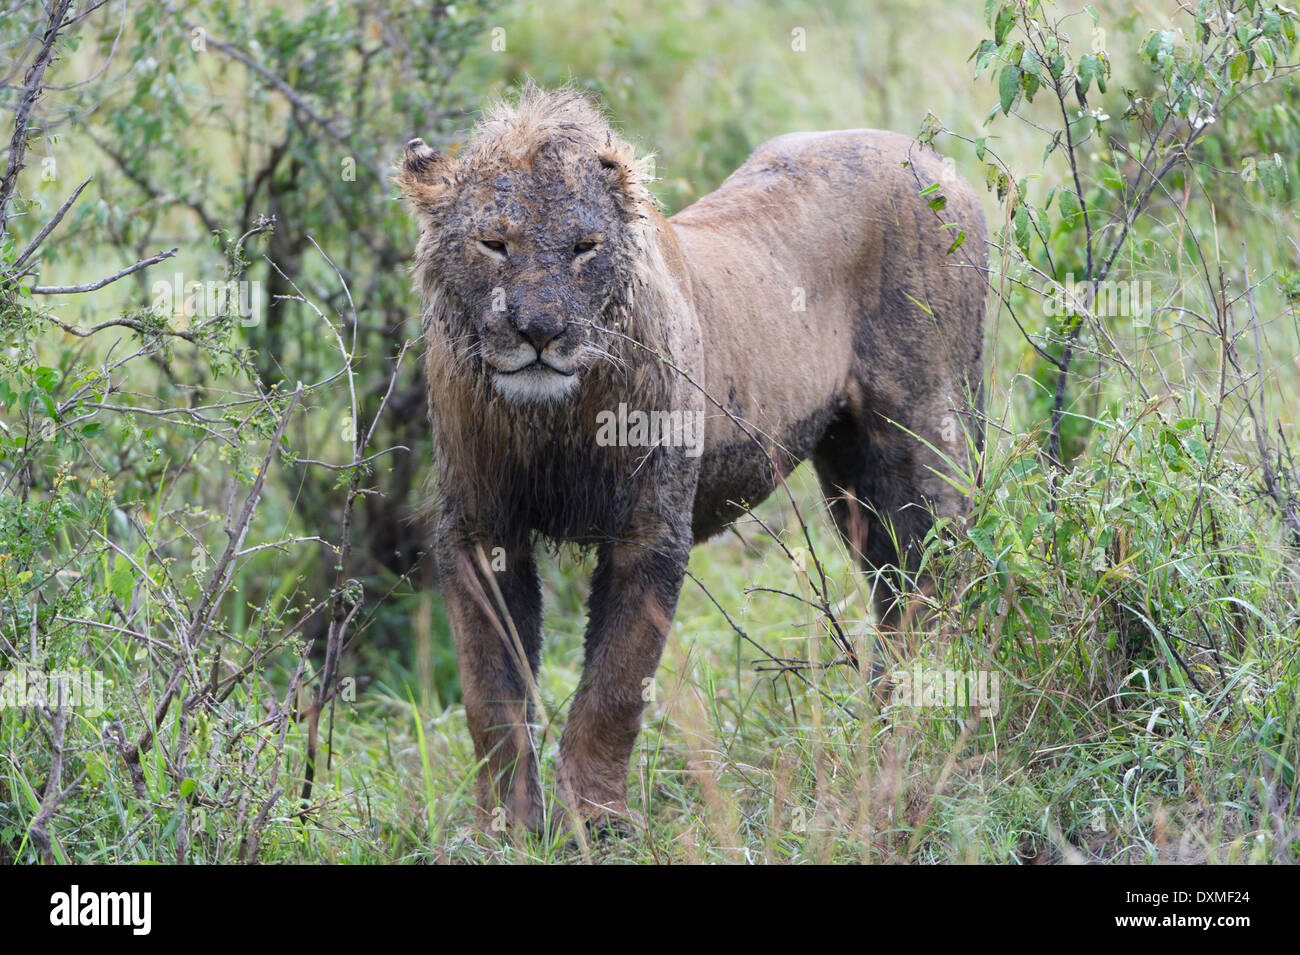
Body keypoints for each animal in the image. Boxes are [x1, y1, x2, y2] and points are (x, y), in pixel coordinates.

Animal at [395, 82, 982, 836]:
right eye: (495, 243)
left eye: (584, 247)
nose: (540, 331)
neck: (553, 418)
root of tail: (934, 161)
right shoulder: (478, 531)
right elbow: (491, 694)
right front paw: (508, 825)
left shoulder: (650, 530)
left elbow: (615, 688)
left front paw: (598, 819)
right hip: (852, 475)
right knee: (894, 589)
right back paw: (882, 717)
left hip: (923, 436)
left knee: (937, 574)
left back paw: (913, 719)